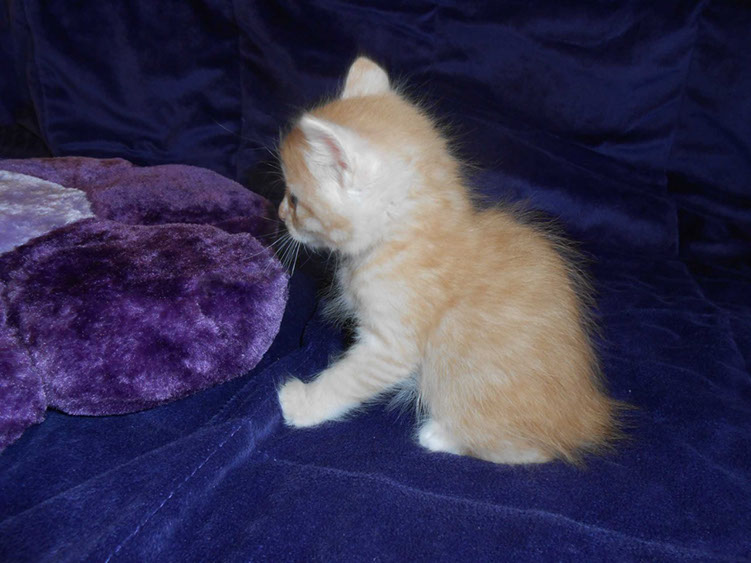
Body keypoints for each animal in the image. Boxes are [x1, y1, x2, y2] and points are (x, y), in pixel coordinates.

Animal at [276, 56, 622, 464]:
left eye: (294, 200)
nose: (279, 213)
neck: (404, 235)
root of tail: (587, 415)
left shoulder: (389, 347)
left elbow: (345, 380)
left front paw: (303, 403)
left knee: (532, 450)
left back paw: (441, 435)